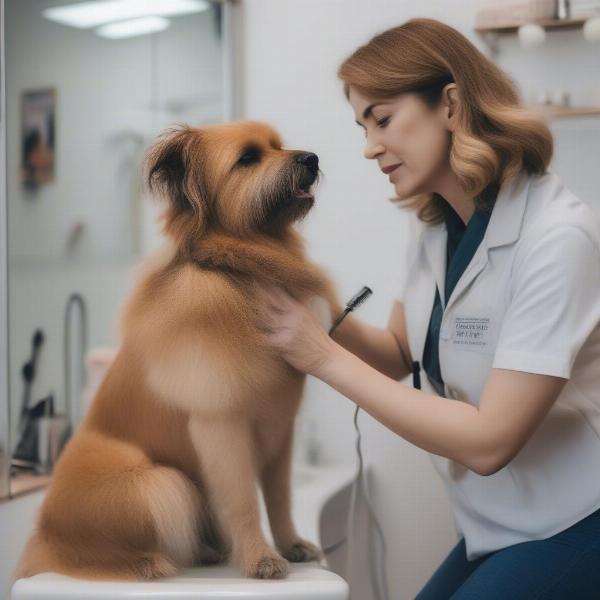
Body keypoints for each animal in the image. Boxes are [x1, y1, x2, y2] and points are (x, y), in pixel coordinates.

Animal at [11, 119, 342, 584]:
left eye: (279, 145)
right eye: (248, 158)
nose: (310, 158)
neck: (242, 268)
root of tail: (45, 535)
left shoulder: (280, 428)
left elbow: (279, 499)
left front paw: (292, 543)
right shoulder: (221, 426)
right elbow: (244, 501)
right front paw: (260, 556)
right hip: (161, 483)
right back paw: (157, 560)